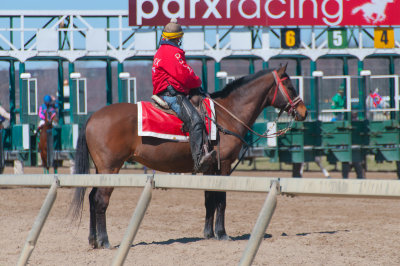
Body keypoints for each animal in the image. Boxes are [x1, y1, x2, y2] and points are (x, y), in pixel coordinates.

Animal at [70, 65, 306, 248]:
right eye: (290, 85)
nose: (303, 111)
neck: (227, 114)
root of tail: (93, 117)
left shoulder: (209, 168)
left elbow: (210, 199)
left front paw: (209, 233)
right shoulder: (224, 166)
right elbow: (221, 200)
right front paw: (222, 233)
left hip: (101, 170)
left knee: (91, 198)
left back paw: (93, 240)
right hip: (110, 168)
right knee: (100, 200)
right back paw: (104, 241)